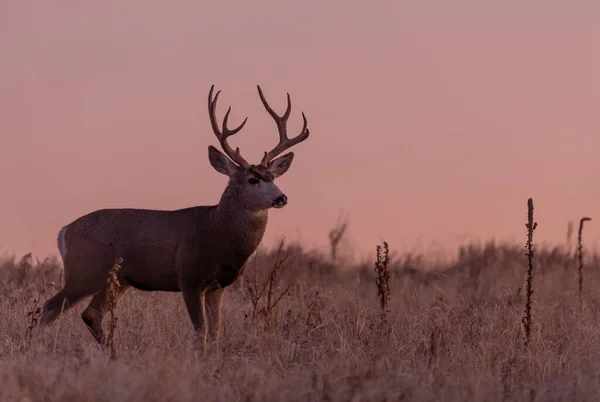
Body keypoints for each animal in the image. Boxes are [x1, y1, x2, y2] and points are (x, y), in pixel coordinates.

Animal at [38, 85, 310, 348]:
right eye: (253, 180)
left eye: (273, 177)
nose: (281, 198)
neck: (216, 231)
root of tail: (64, 232)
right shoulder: (189, 278)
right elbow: (201, 332)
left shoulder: (218, 286)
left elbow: (215, 333)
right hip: (84, 272)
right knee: (49, 308)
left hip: (117, 280)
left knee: (91, 314)